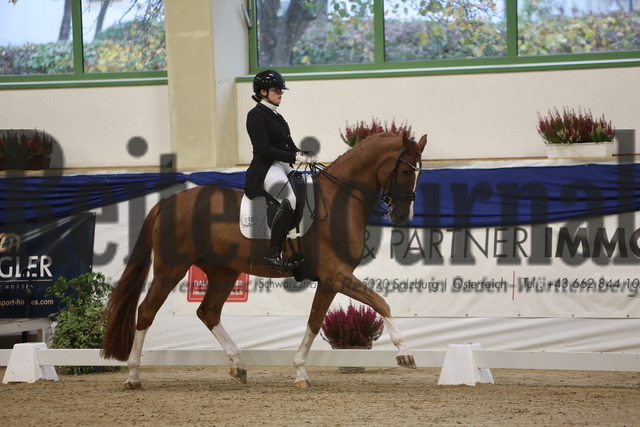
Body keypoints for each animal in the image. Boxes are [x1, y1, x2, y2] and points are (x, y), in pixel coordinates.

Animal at [101, 131, 428, 389]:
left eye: (420, 173)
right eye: (405, 172)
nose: (402, 216)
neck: (338, 201)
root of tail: (168, 202)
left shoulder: (330, 280)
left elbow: (314, 321)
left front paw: (300, 373)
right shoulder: (336, 274)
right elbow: (381, 302)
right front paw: (405, 353)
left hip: (223, 272)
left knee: (208, 312)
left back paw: (238, 365)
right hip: (171, 269)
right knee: (146, 312)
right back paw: (133, 376)